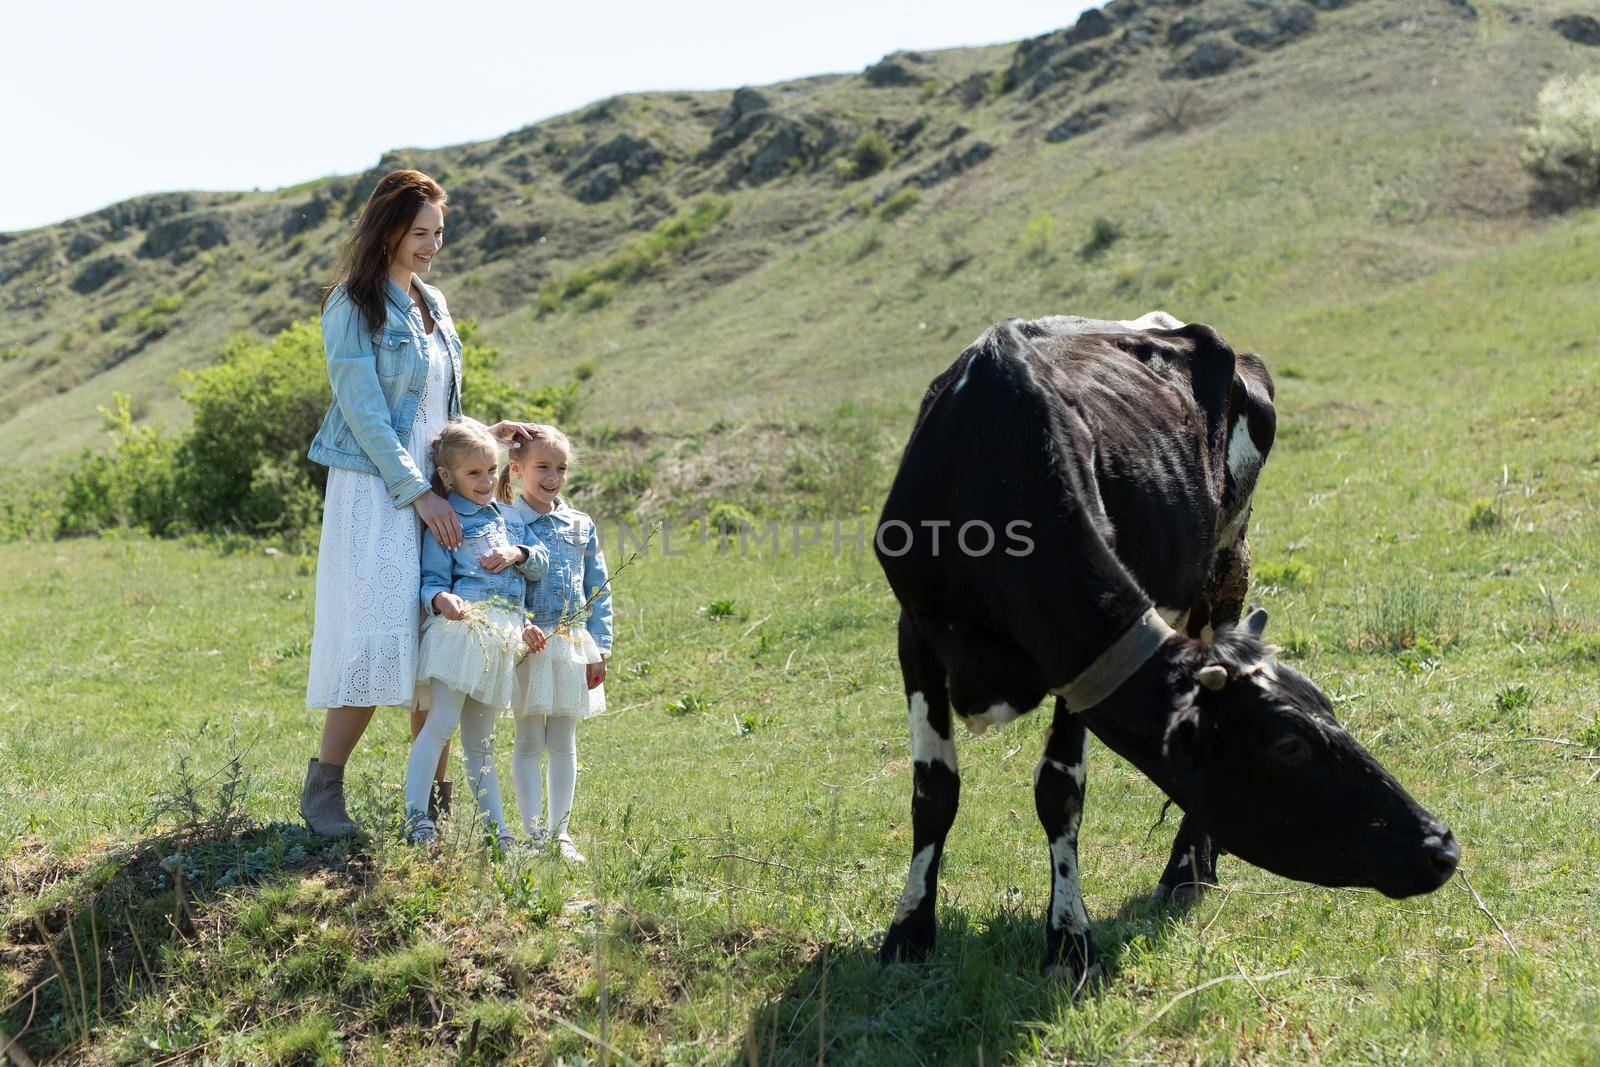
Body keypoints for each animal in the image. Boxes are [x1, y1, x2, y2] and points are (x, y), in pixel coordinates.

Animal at [876, 310, 1465, 985]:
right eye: (1289, 744)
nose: (1441, 845)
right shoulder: (915, 629)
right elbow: (934, 791)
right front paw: (908, 933)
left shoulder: (1080, 665)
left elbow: (1059, 792)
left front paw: (1069, 940)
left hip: (1229, 559)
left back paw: (1186, 870)